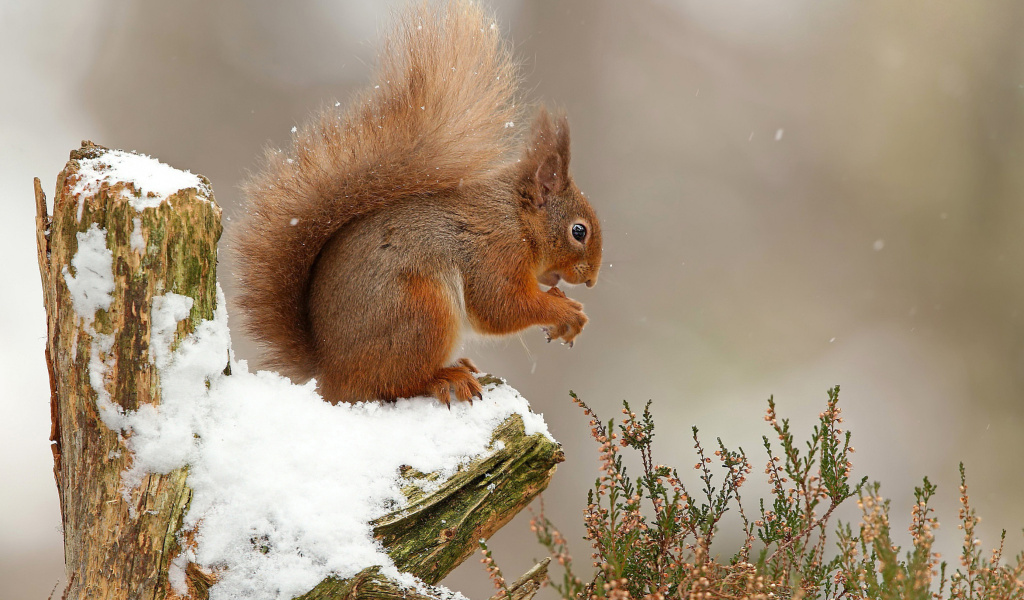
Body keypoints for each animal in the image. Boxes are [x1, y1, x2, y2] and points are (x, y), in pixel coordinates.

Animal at [232, 0, 598, 403]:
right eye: (579, 231)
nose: (592, 280)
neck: (516, 219)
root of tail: (331, 375)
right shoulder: (494, 253)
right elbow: (501, 307)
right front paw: (565, 311)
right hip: (422, 310)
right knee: (395, 383)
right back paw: (445, 377)